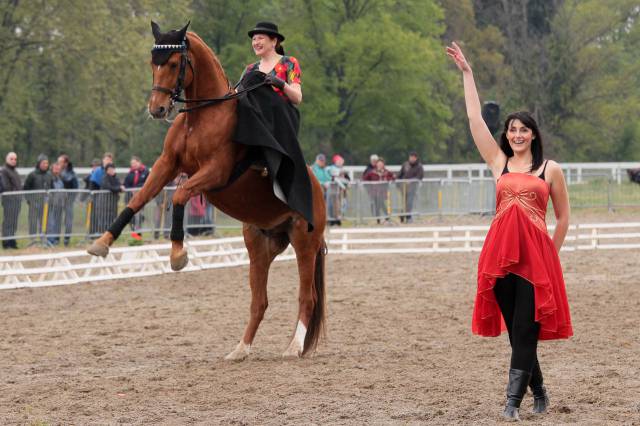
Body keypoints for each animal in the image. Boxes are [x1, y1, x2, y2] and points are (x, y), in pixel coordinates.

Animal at [87, 20, 328, 360]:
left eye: (174, 63)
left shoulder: (214, 172)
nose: (157, 109)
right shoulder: (167, 164)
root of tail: (318, 192)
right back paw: (240, 349)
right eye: (152, 62)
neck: (202, 117)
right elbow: (139, 197)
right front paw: (102, 243)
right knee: (259, 302)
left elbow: (178, 196)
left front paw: (178, 254)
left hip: (304, 242)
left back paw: (293, 347)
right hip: (260, 244)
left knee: (306, 298)